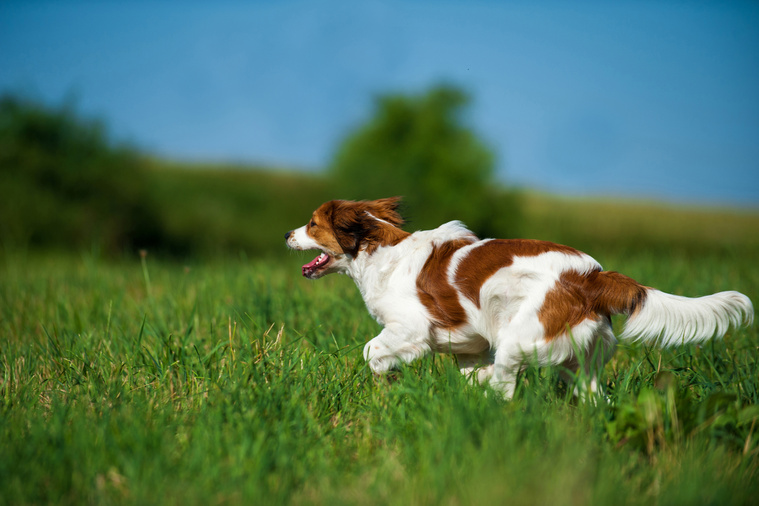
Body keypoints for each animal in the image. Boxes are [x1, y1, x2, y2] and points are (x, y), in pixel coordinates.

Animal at [284, 198, 756, 400]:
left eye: (312, 223)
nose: (287, 233)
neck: (379, 252)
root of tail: (593, 276)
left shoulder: (411, 328)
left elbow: (372, 351)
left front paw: (389, 378)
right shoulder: (467, 345)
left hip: (519, 339)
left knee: (504, 382)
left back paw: (491, 390)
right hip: (579, 363)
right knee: (591, 398)